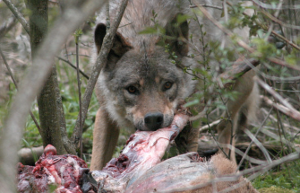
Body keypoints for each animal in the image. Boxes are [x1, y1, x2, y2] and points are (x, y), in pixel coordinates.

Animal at [90, 0, 258, 170]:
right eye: (132, 89)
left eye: (167, 85)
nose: (153, 119)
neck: (142, 22)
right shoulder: (104, 112)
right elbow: (97, 162)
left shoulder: (193, 114)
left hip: (242, 82)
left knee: (225, 128)